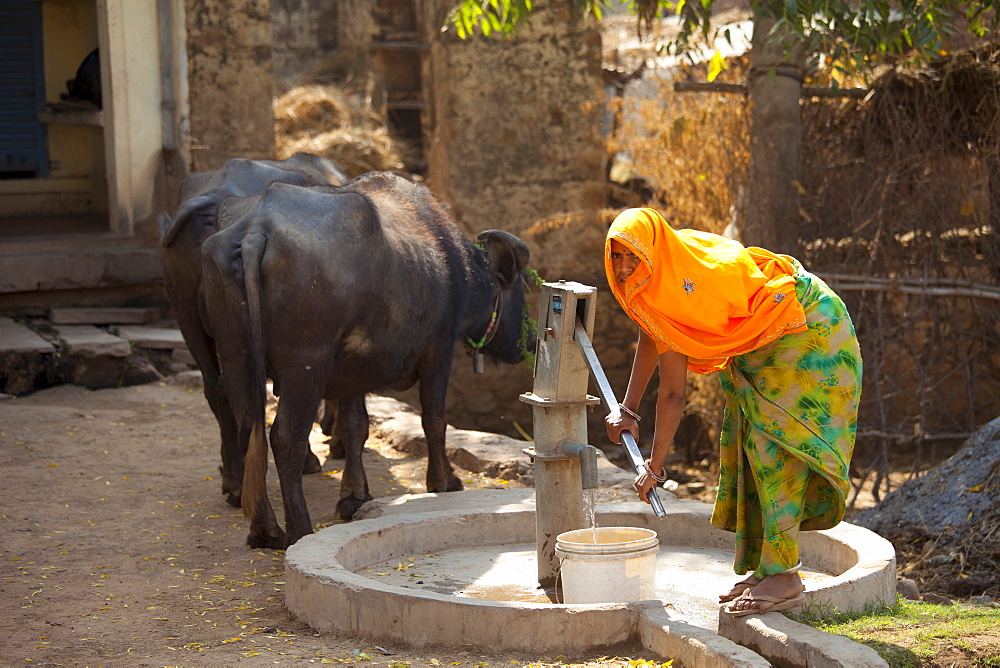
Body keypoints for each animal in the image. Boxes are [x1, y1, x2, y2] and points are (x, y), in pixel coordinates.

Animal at [198, 171, 536, 548]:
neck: (450, 264)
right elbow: (434, 419)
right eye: (520, 288)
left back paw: (264, 529)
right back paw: (298, 530)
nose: (529, 342)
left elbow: (356, 427)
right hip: (305, 366)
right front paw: (444, 481)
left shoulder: (350, 370)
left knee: (247, 431)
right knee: (286, 439)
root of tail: (256, 229)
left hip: (237, 358)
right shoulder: (439, 350)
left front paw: (354, 495)